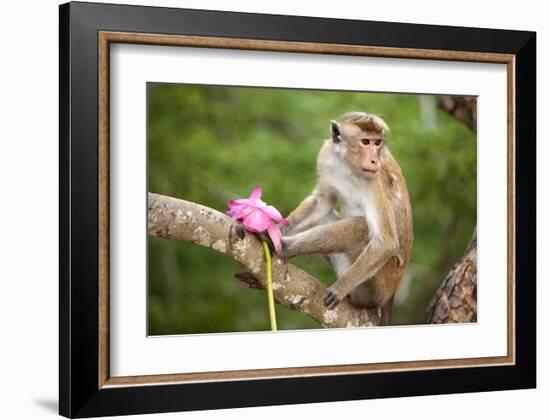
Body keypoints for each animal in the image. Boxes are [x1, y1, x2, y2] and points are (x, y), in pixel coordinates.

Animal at [280, 110, 414, 324]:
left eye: (377, 143)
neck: (348, 166)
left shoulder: (375, 179)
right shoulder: (327, 156)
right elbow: (323, 201)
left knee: (362, 227)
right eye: (366, 141)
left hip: (376, 285)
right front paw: (279, 226)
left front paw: (339, 288)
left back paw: (285, 248)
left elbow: (386, 242)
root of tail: (391, 294)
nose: (374, 160)